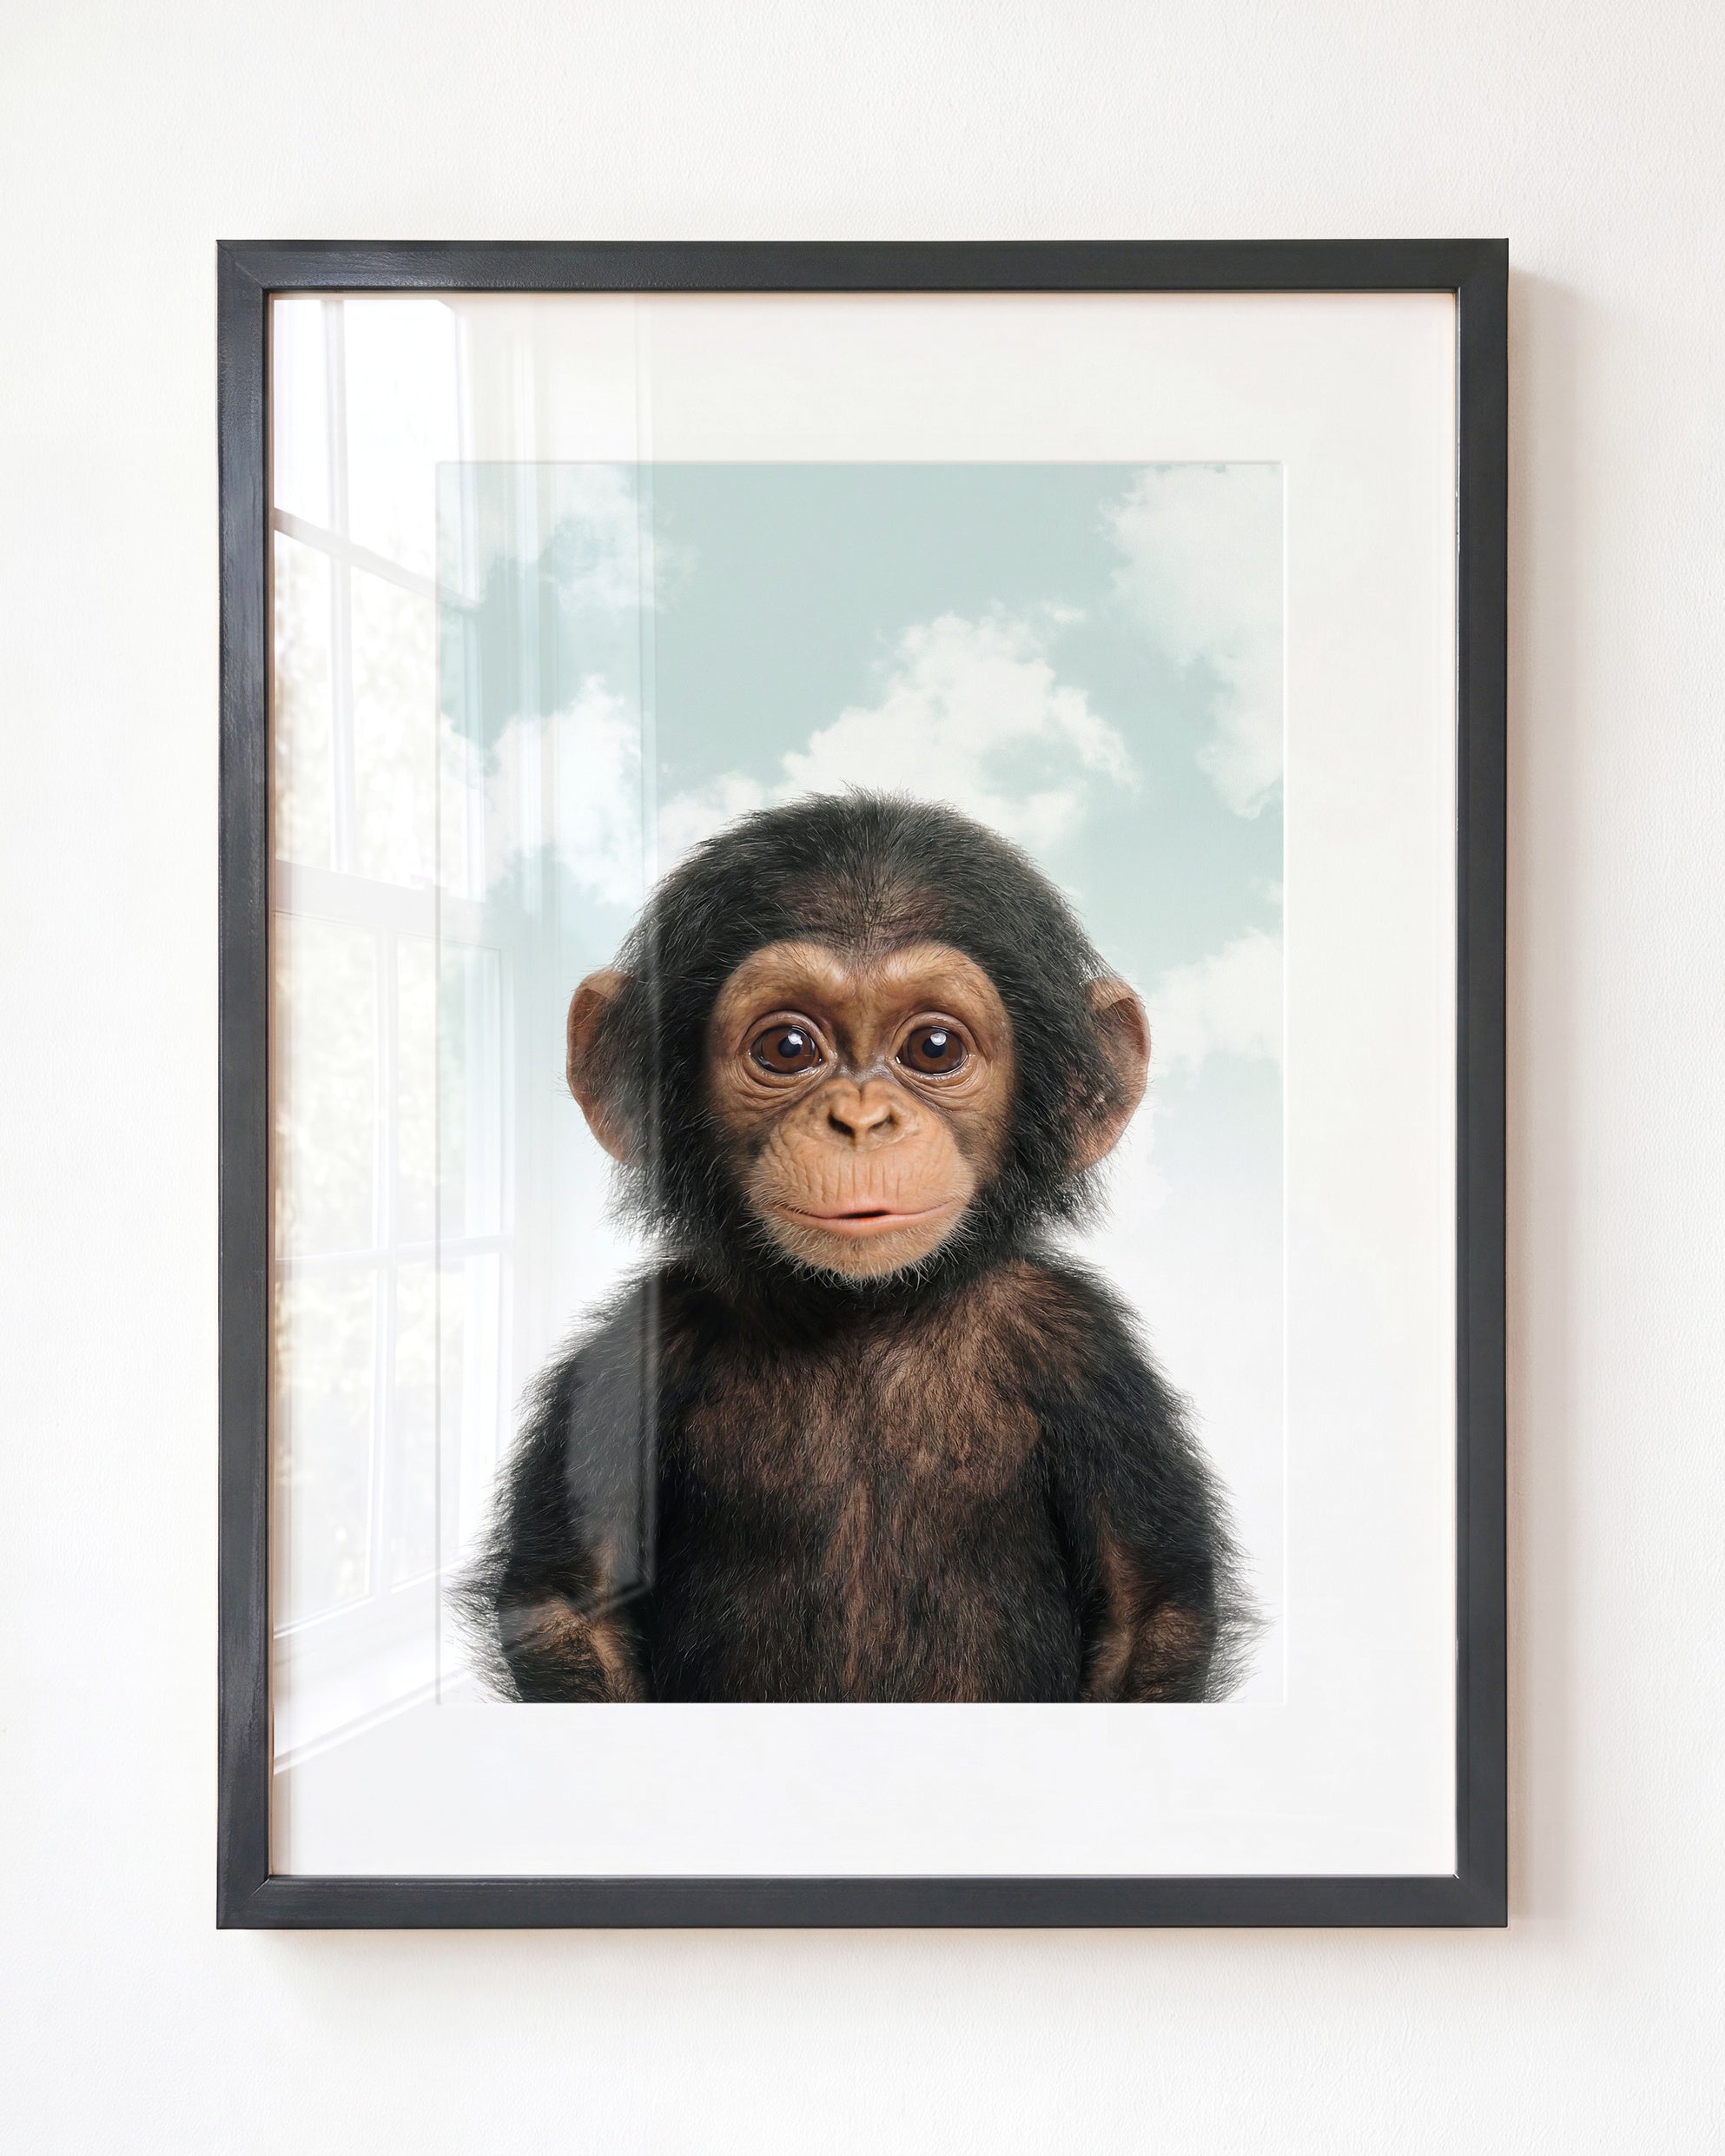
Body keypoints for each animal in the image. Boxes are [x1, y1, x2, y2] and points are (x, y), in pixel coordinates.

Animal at [458, 793, 1255, 1703]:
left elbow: (1147, 1610)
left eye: (934, 1048)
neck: (865, 1313)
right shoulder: (634, 1352)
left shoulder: (1086, 1353)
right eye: (787, 1048)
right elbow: (570, 1604)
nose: (862, 1120)